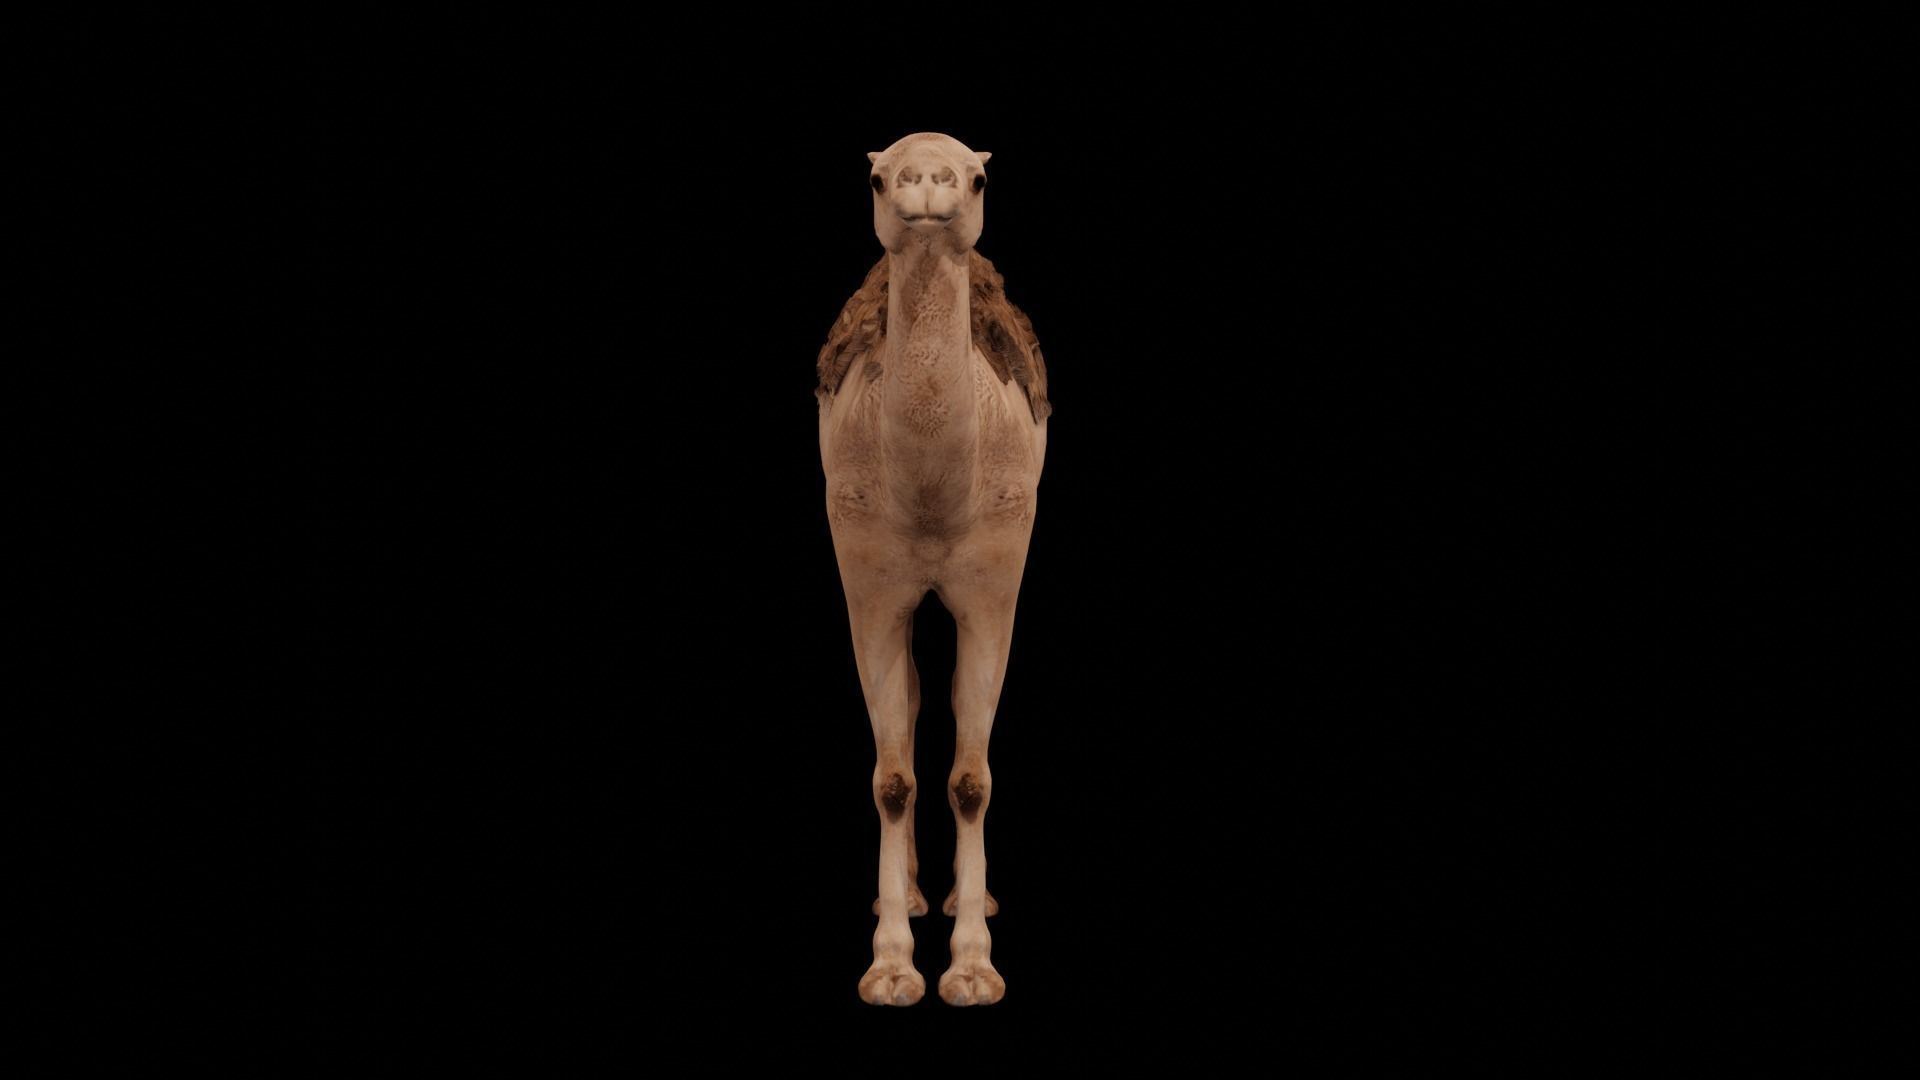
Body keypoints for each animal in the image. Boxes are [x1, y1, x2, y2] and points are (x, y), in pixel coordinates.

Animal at [815, 132, 1051, 1006]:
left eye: (977, 178)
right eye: (881, 179)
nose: (927, 180)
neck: (930, 498)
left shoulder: (995, 583)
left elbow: (971, 778)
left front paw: (974, 967)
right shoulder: (869, 584)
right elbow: (892, 777)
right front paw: (891, 966)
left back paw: (959, 897)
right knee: (916, 706)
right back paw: (916, 893)